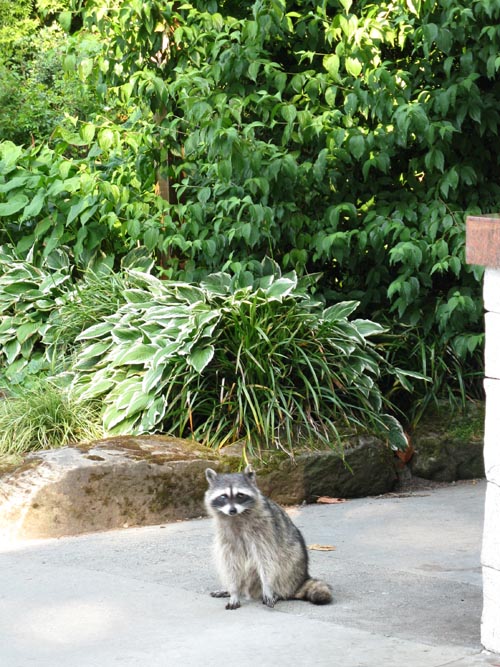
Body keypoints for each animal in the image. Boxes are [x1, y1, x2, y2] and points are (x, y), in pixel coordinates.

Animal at [204, 465, 333, 610]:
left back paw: (277, 592)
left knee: (284, 561)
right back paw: (234, 589)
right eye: (223, 496)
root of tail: (300, 581)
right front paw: (233, 591)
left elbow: (266, 560)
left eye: (240, 495)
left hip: (292, 566)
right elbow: (229, 562)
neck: (237, 516)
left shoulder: (264, 530)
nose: (232, 510)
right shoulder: (225, 536)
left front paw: (267, 587)